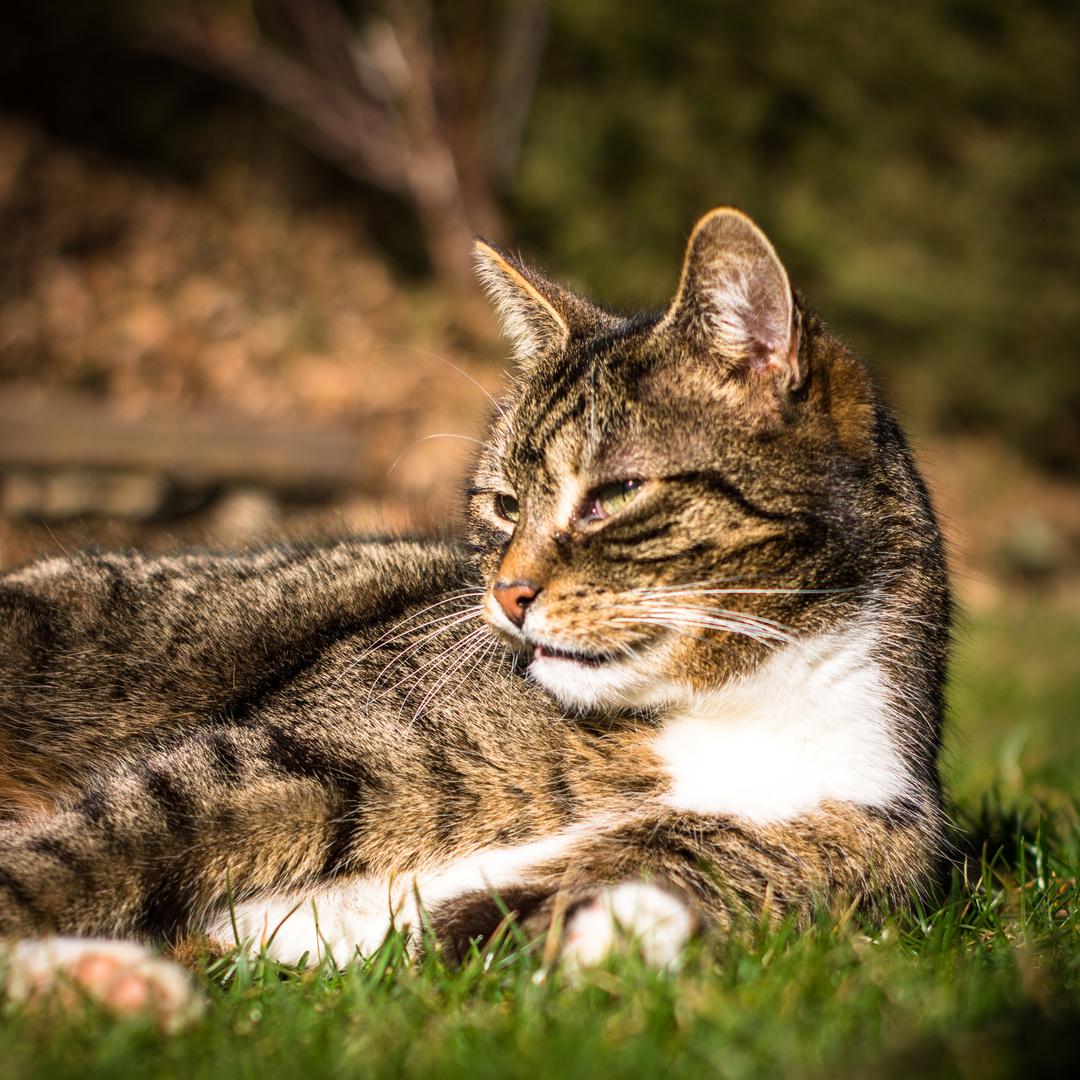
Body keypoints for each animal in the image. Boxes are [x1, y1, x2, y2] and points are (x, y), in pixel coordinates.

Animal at [0, 206, 950, 1023]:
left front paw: (617, 929)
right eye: (502, 504)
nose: (506, 593)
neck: (737, 711)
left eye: (613, 496)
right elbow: (79, 855)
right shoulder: (290, 758)